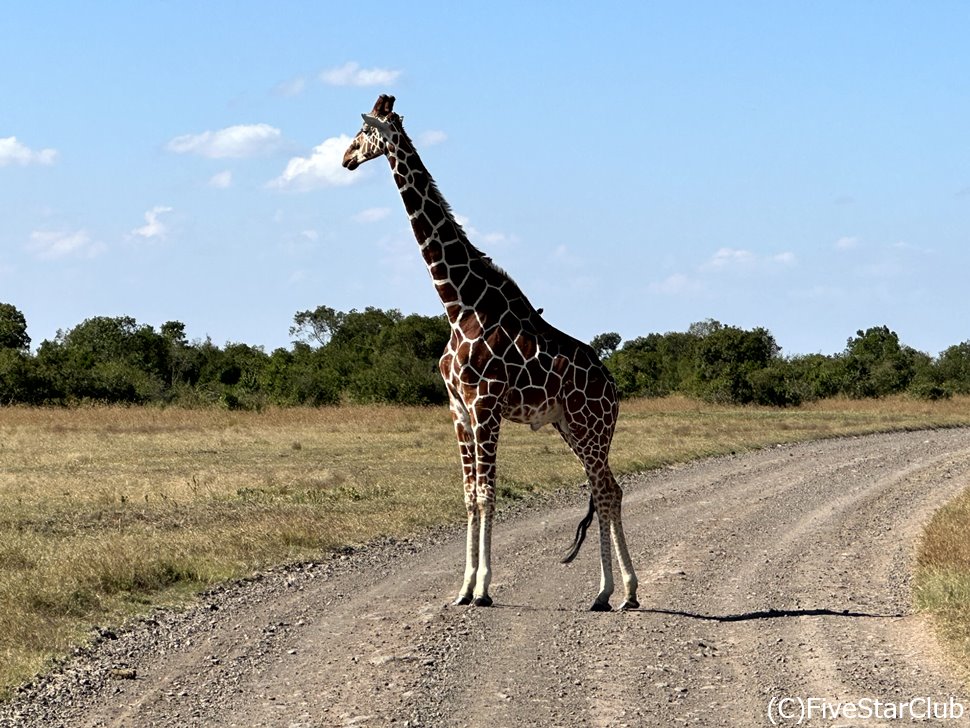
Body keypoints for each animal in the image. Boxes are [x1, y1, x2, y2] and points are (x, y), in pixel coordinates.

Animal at [340, 95, 636, 608]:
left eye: (363, 133)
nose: (344, 159)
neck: (459, 303)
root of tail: (614, 388)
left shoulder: (485, 405)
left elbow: (486, 492)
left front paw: (482, 589)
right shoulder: (458, 408)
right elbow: (468, 494)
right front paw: (462, 588)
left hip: (589, 426)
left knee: (605, 491)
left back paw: (614, 590)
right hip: (570, 427)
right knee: (608, 491)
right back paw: (617, 593)